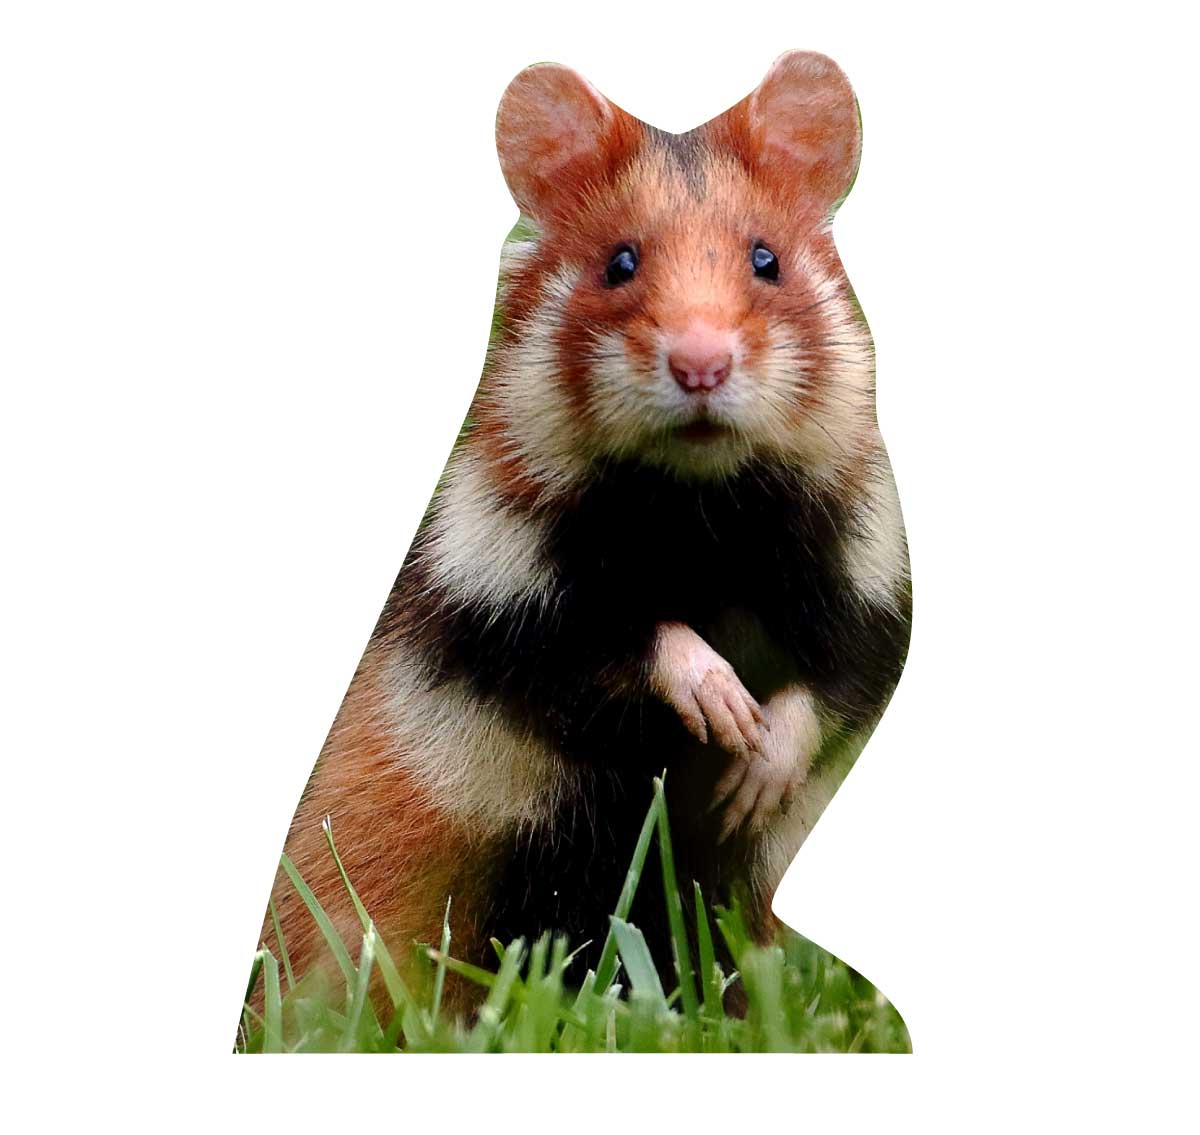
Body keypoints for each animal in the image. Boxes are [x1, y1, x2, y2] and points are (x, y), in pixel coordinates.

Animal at [264, 50, 910, 1005]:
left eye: (767, 260)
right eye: (619, 262)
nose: (701, 364)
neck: (705, 510)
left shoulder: (873, 588)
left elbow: (833, 685)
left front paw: (751, 768)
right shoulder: (505, 597)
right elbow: (624, 639)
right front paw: (723, 705)